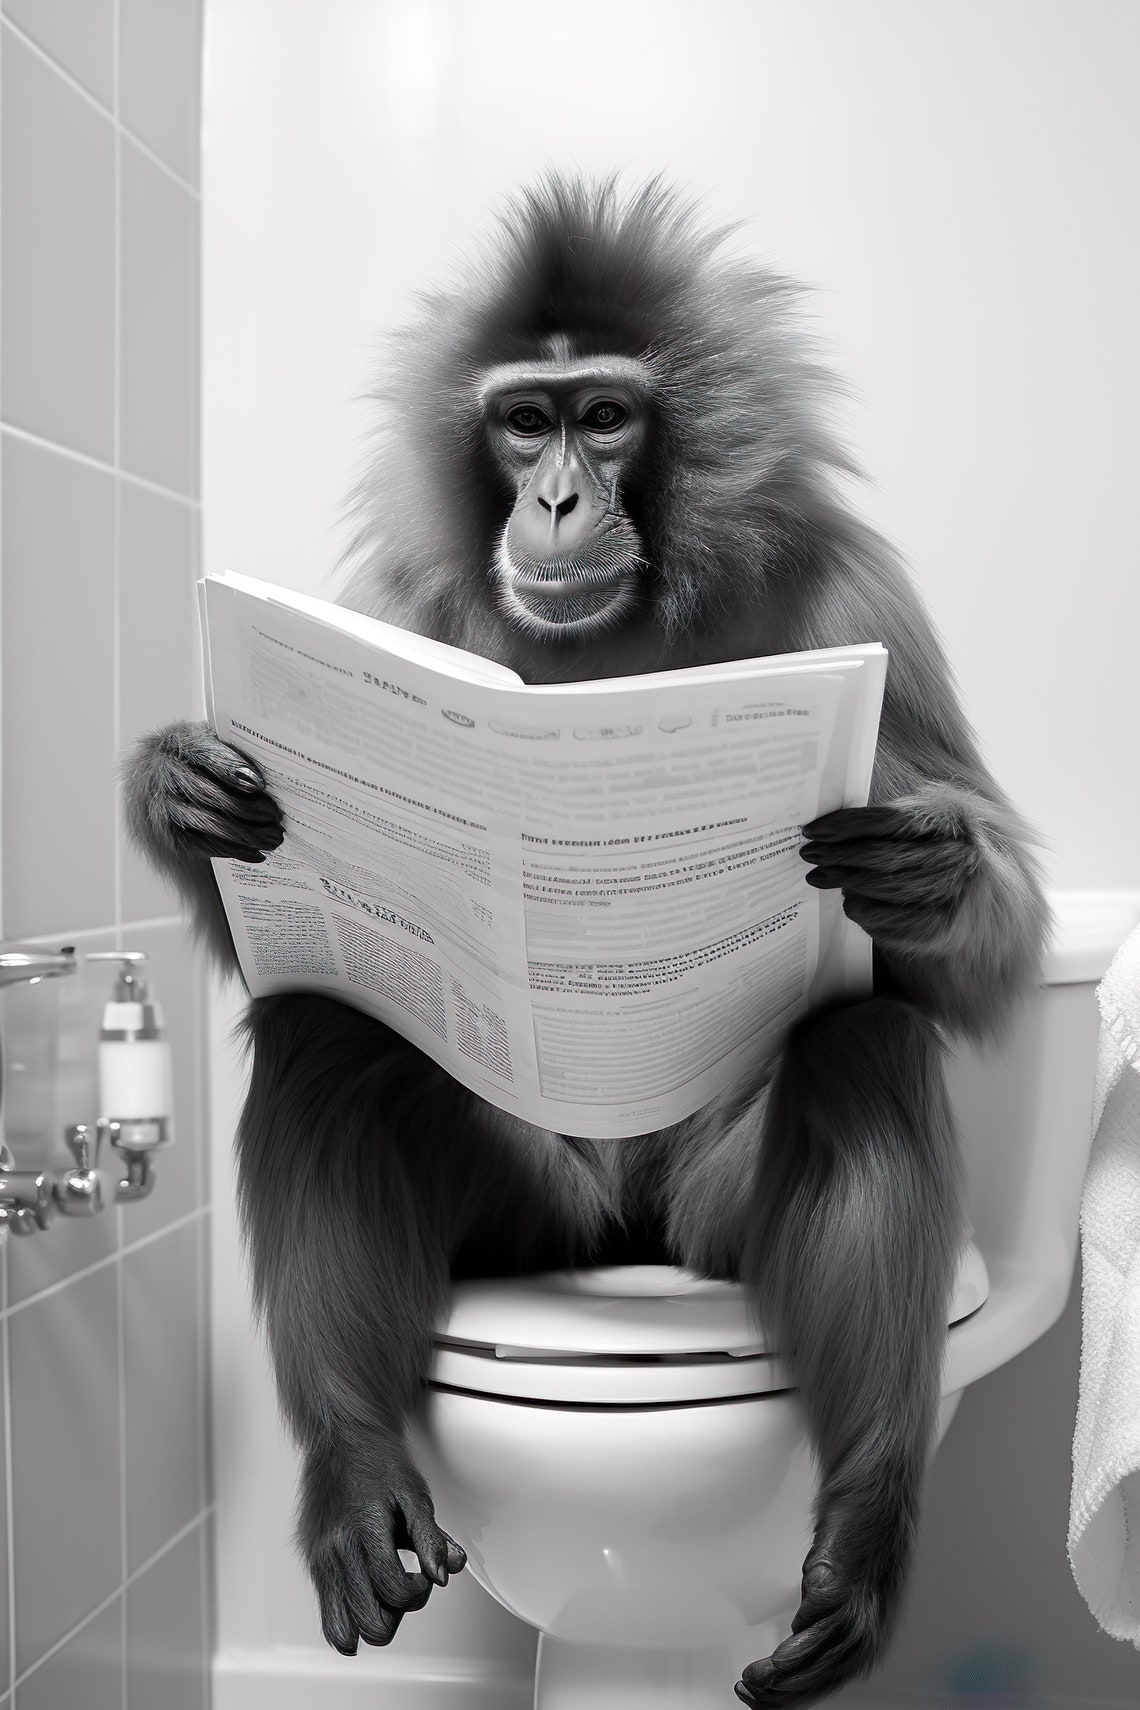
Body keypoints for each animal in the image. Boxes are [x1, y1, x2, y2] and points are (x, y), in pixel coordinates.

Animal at [124, 178, 1047, 1707]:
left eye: (605, 417)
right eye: (523, 422)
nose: (557, 497)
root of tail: (621, 1244)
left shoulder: (857, 597)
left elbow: (994, 944)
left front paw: (931, 872)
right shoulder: (396, 609)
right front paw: (175, 787)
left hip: (706, 1233)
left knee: (865, 1043)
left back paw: (860, 1530)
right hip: (525, 1222)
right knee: (327, 1028)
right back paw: (359, 1475)